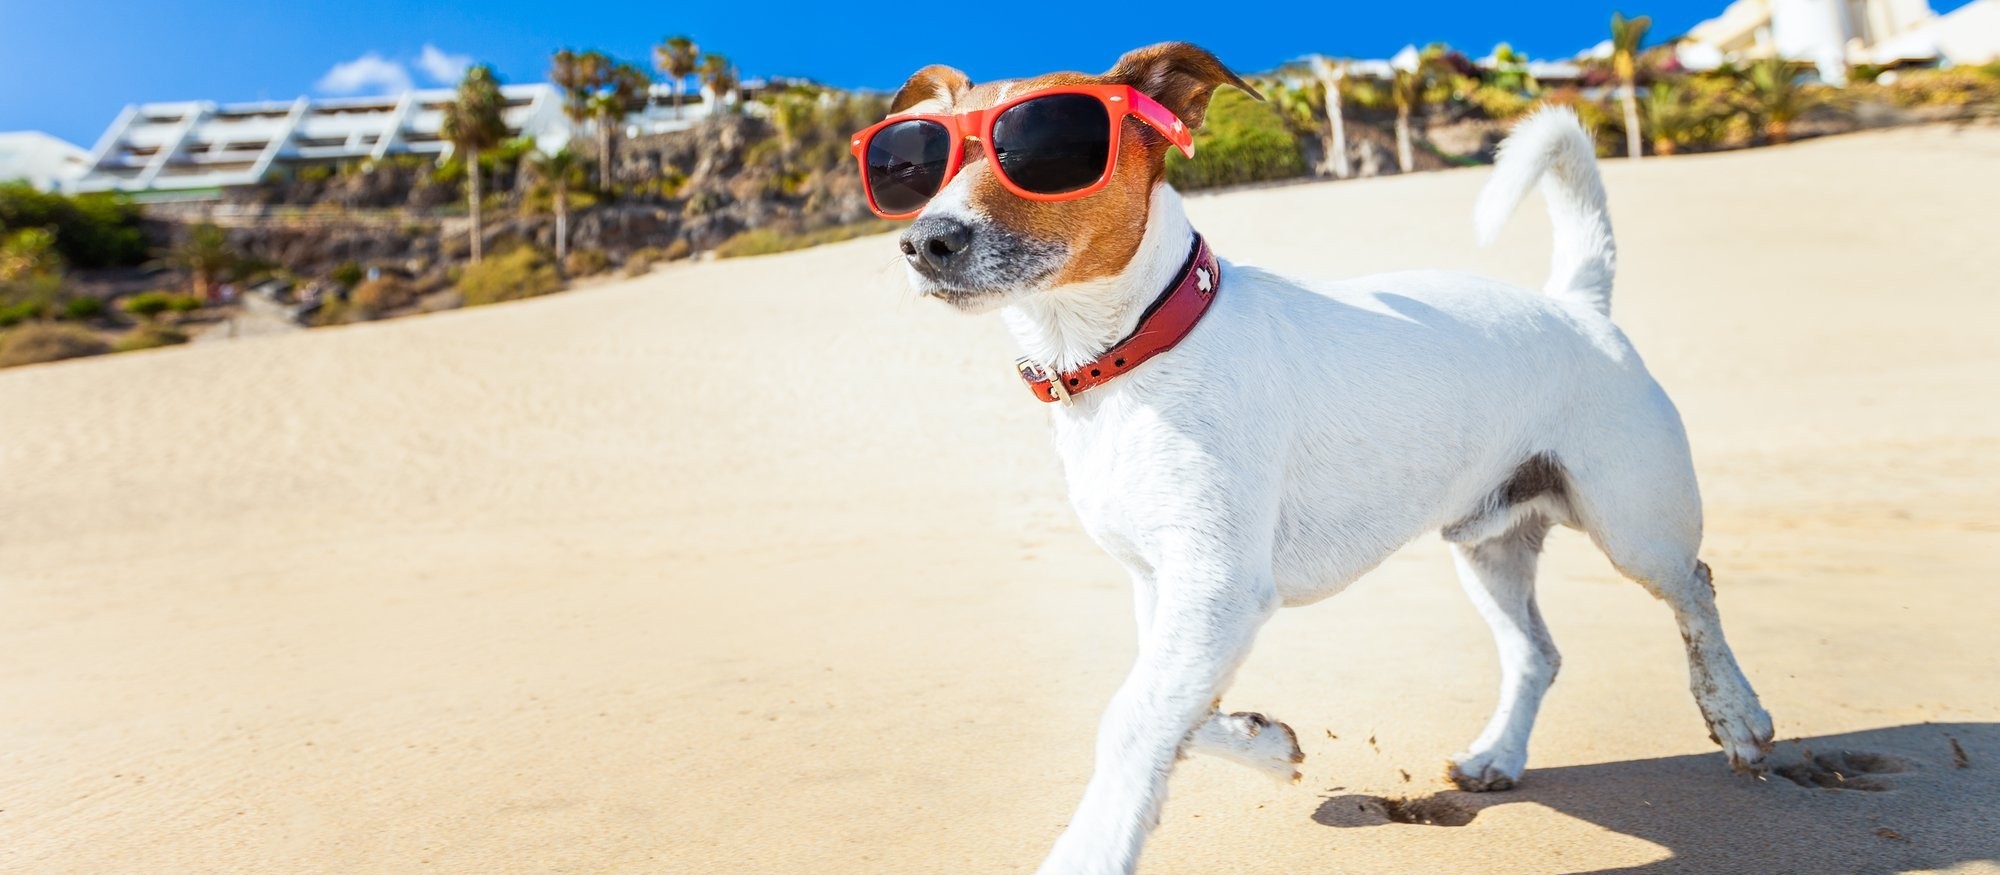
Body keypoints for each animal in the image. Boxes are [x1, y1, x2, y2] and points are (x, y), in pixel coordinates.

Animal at [860, 42, 1784, 875]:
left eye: (1041, 153)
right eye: (919, 167)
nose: (924, 240)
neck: (1132, 349)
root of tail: (1578, 303)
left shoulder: (1218, 584)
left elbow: (1131, 715)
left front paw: (1091, 848)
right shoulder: (1167, 585)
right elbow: (1176, 707)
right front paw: (1266, 745)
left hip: (1635, 522)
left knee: (1695, 591)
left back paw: (1739, 717)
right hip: (1487, 542)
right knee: (1539, 652)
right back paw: (1499, 755)